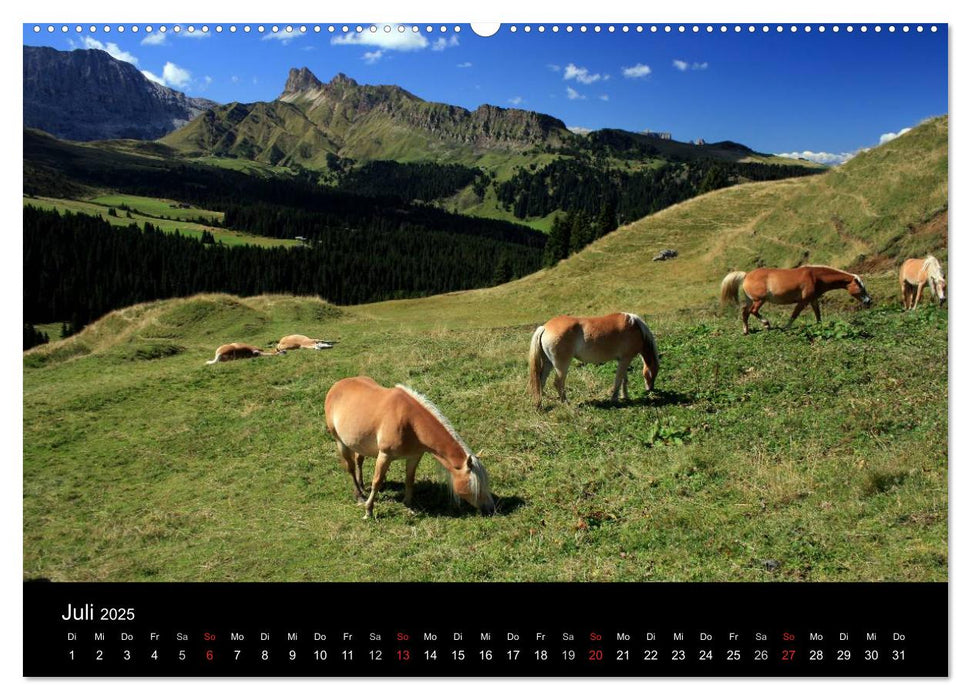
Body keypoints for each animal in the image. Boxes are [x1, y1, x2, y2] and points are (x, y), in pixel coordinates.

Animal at [324, 378, 498, 520]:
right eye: (474, 485)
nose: (490, 509)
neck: (410, 423)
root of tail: (337, 385)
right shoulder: (385, 455)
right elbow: (376, 481)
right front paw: (369, 510)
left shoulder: (414, 456)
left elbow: (409, 480)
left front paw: (409, 505)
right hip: (340, 442)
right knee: (351, 468)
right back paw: (359, 494)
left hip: (360, 443)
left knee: (359, 460)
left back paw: (362, 486)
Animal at [532, 314, 660, 410]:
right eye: (652, 373)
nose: (650, 389)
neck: (635, 328)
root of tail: (544, 327)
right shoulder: (626, 359)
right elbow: (619, 379)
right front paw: (615, 398)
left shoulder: (623, 360)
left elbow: (624, 379)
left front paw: (625, 396)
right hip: (561, 366)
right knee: (558, 383)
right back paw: (566, 403)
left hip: (548, 363)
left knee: (541, 381)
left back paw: (540, 403)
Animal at [720, 266, 872, 336]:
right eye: (861, 287)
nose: (868, 301)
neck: (815, 277)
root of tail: (746, 275)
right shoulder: (803, 301)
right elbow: (795, 314)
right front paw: (786, 327)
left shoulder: (813, 300)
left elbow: (818, 314)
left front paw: (820, 327)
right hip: (759, 300)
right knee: (753, 311)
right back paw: (767, 324)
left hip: (751, 300)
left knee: (745, 313)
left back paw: (746, 331)